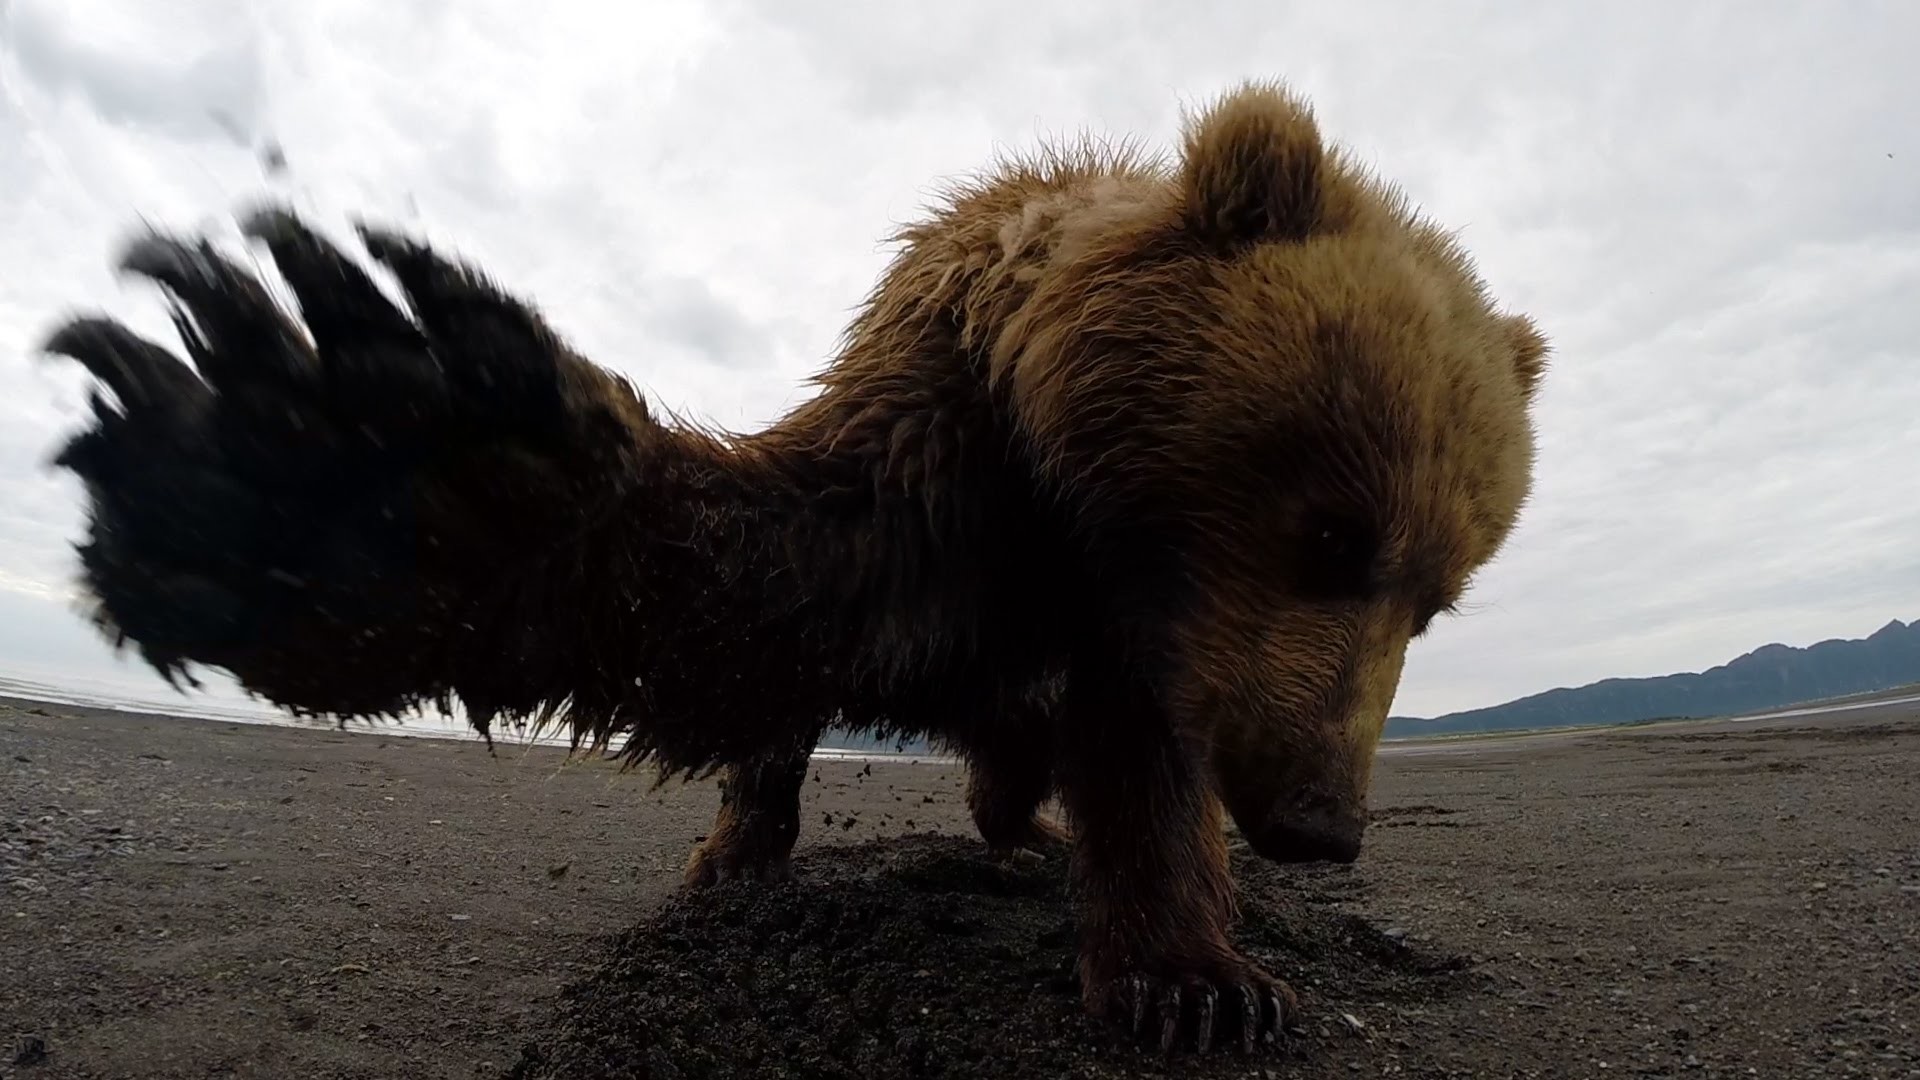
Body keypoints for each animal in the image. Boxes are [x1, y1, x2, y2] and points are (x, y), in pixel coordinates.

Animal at [37, 82, 1543, 1053]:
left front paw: (1202, 982)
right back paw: (742, 854)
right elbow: (759, 587)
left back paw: (1023, 832)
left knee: (1011, 758)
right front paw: (337, 460)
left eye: (1439, 596)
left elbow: (1147, 763)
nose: (1321, 822)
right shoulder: (945, 455)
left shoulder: (1142, 621)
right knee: (781, 735)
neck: (1069, 490)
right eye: (1333, 532)